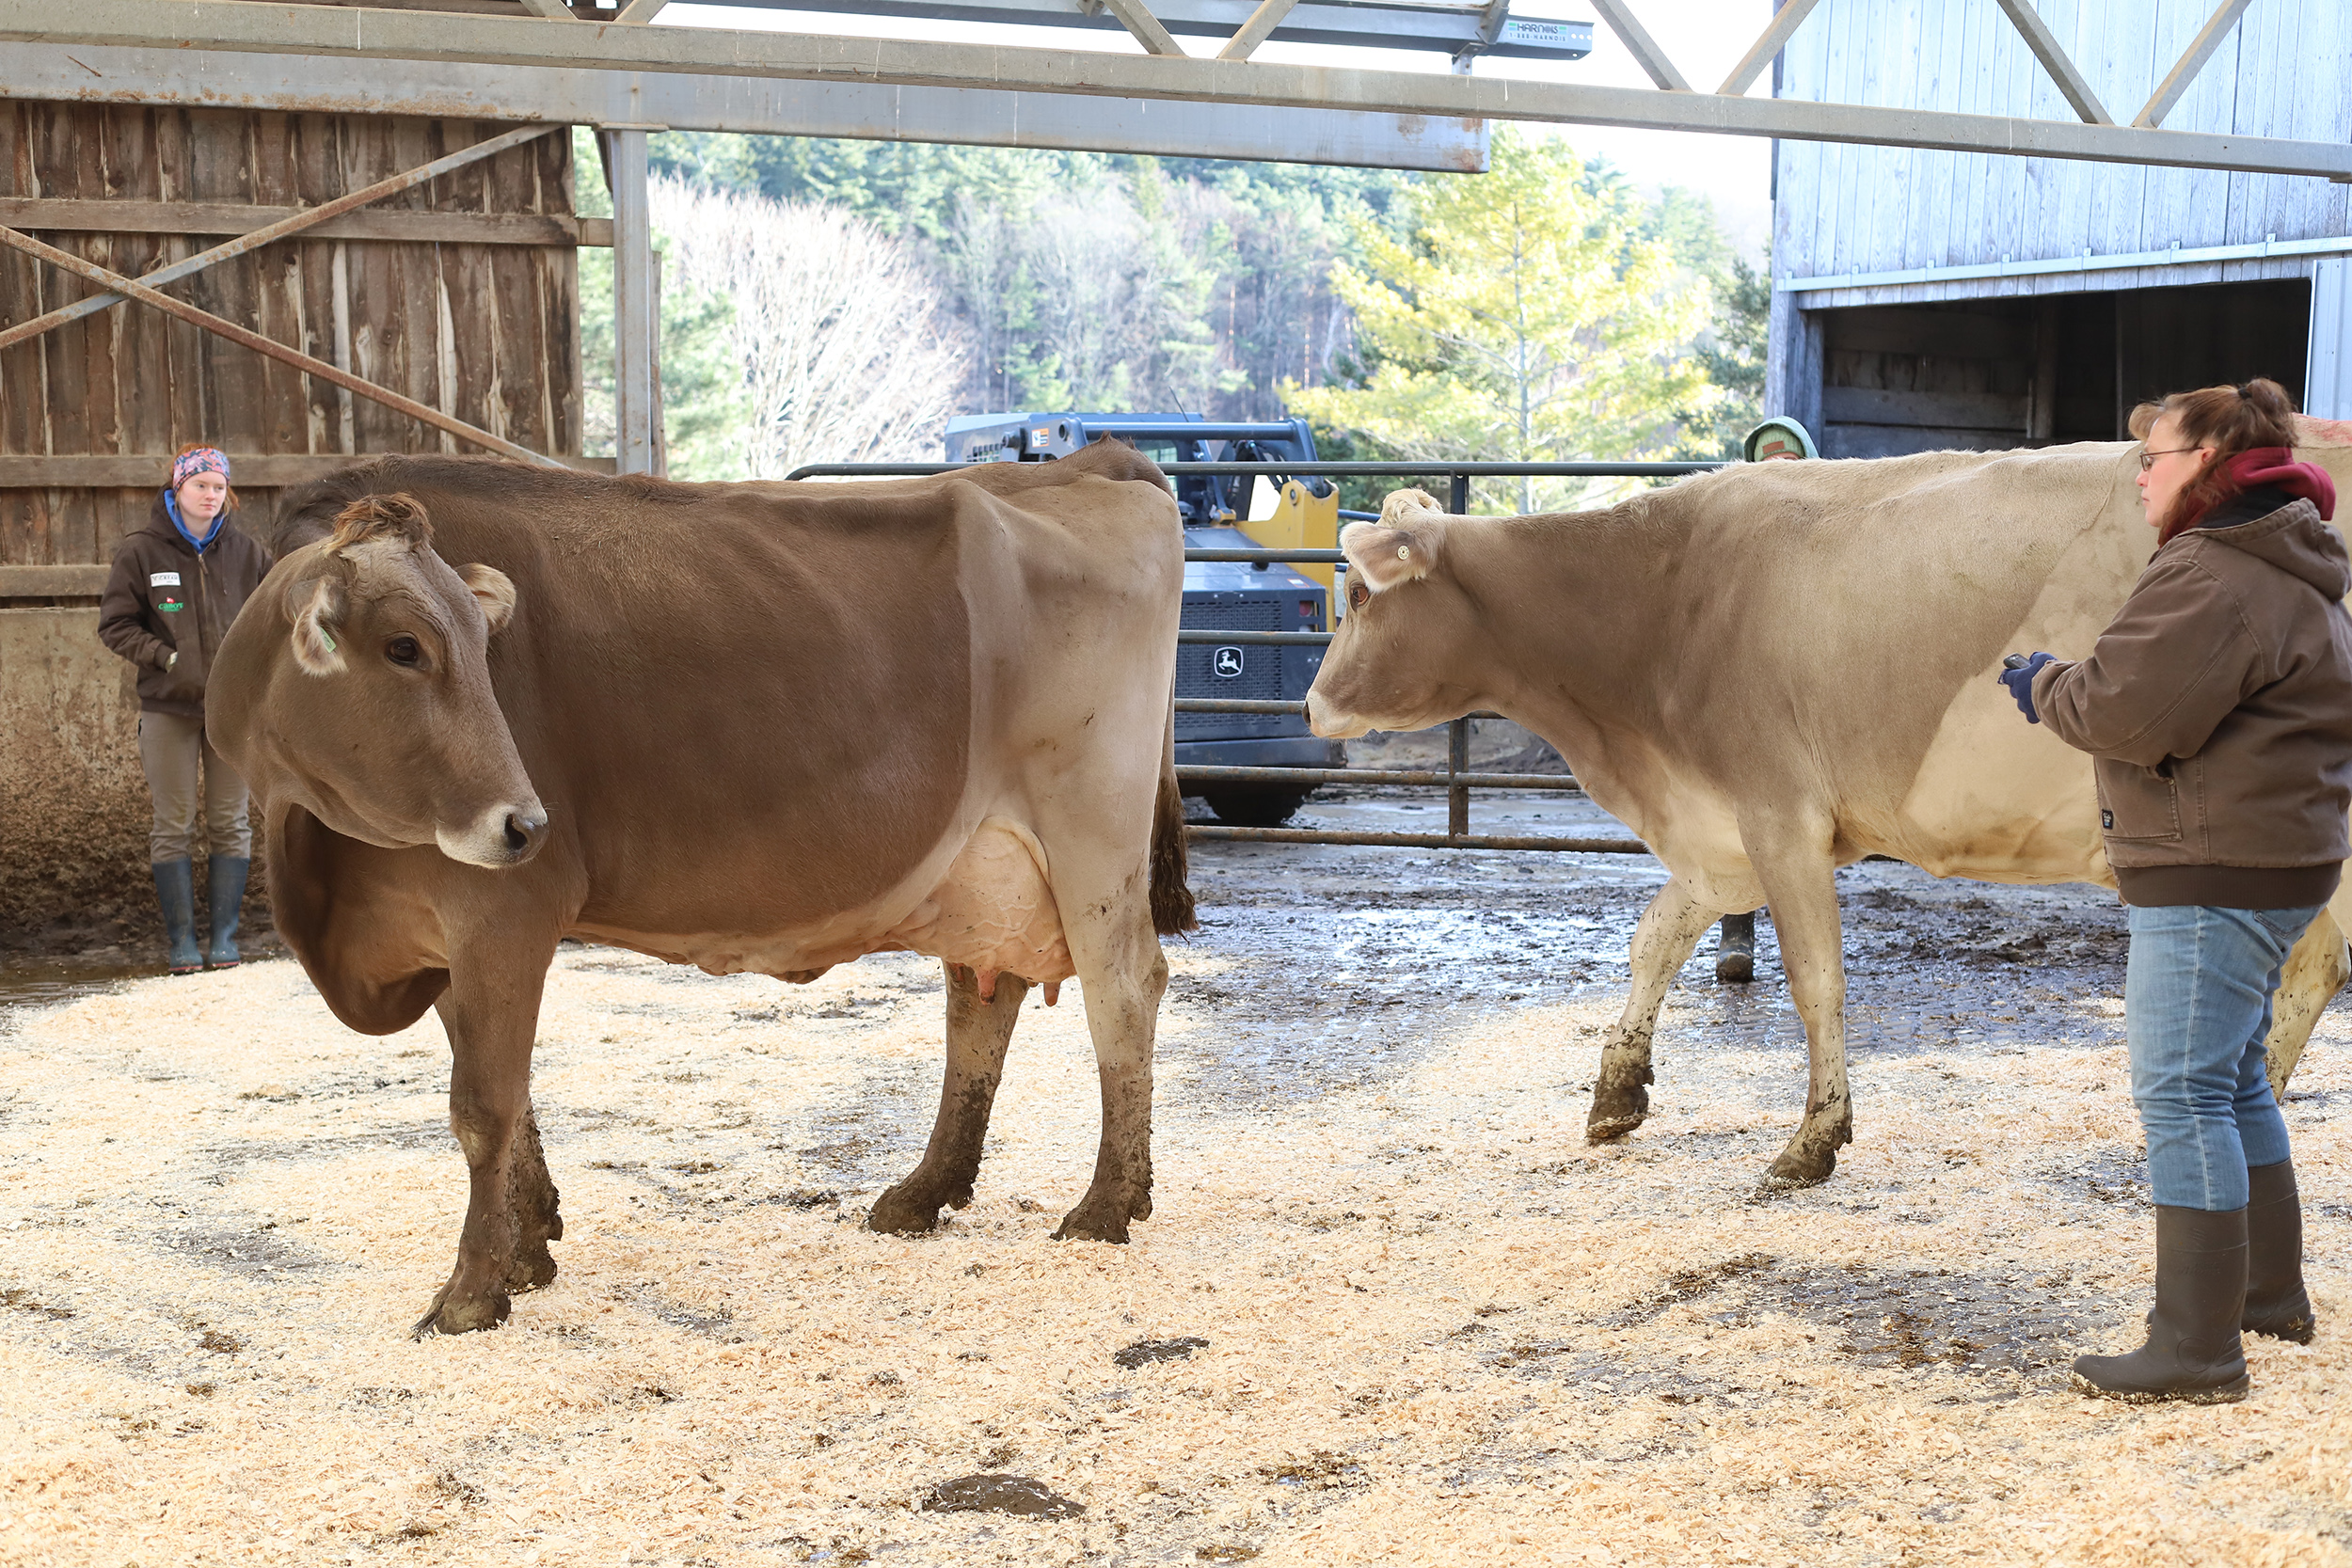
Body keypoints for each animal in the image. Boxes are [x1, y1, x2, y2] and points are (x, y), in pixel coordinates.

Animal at [204, 441, 1195, 1335]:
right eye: (405, 646)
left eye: (480, 648)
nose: (522, 822)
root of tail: (1090, 462)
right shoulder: (441, 931)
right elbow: (513, 1100)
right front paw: (529, 1248)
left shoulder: (501, 907)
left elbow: (484, 1105)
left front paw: (471, 1293)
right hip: (980, 866)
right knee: (980, 1002)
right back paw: (923, 1191)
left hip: (1091, 833)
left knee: (1124, 990)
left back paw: (1107, 1204)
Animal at [1317, 430, 2352, 1189]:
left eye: (1360, 591)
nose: (1315, 704)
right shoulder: (1719, 831)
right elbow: (1654, 940)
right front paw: (1616, 1095)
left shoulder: (1779, 814)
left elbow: (1817, 982)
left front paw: (1812, 1140)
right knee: (2313, 963)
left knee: (2304, 963)